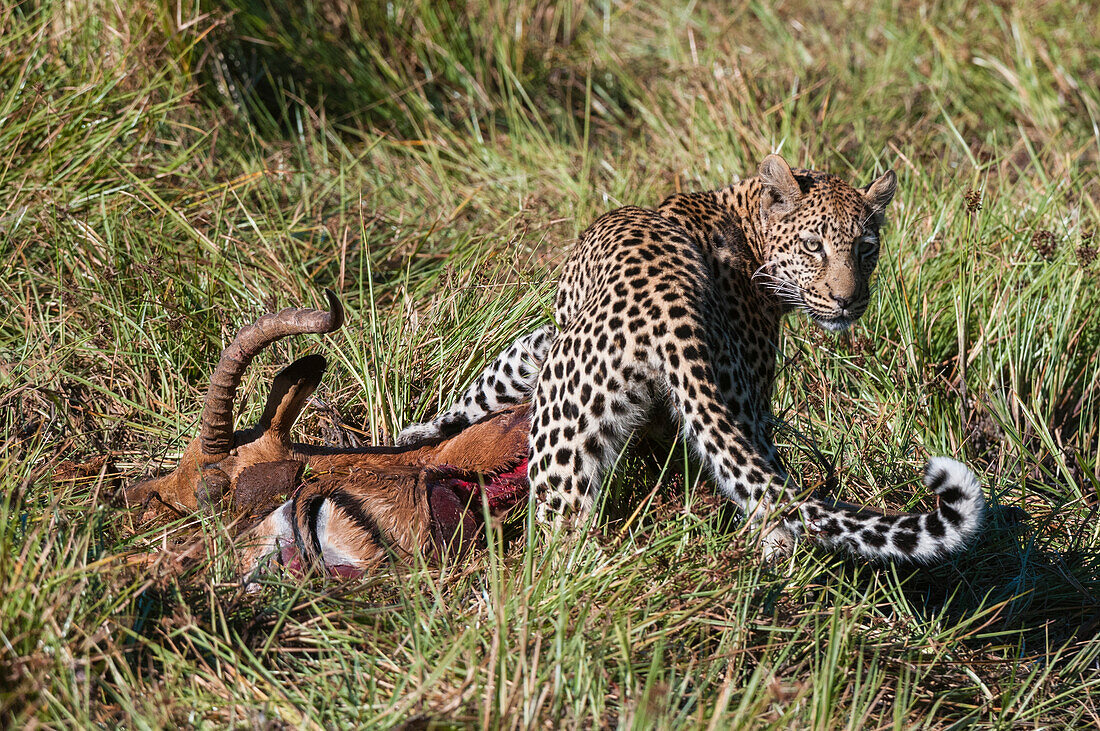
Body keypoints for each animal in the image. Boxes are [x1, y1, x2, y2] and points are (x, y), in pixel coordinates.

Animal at [400, 153, 985, 560]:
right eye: (814, 246)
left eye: (866, 249)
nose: (847, 300)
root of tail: (671, 312)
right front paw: (419, 434)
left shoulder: (554, 340)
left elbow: (500, 371)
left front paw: (419, 433)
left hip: (572, 432)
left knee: (563, 537)